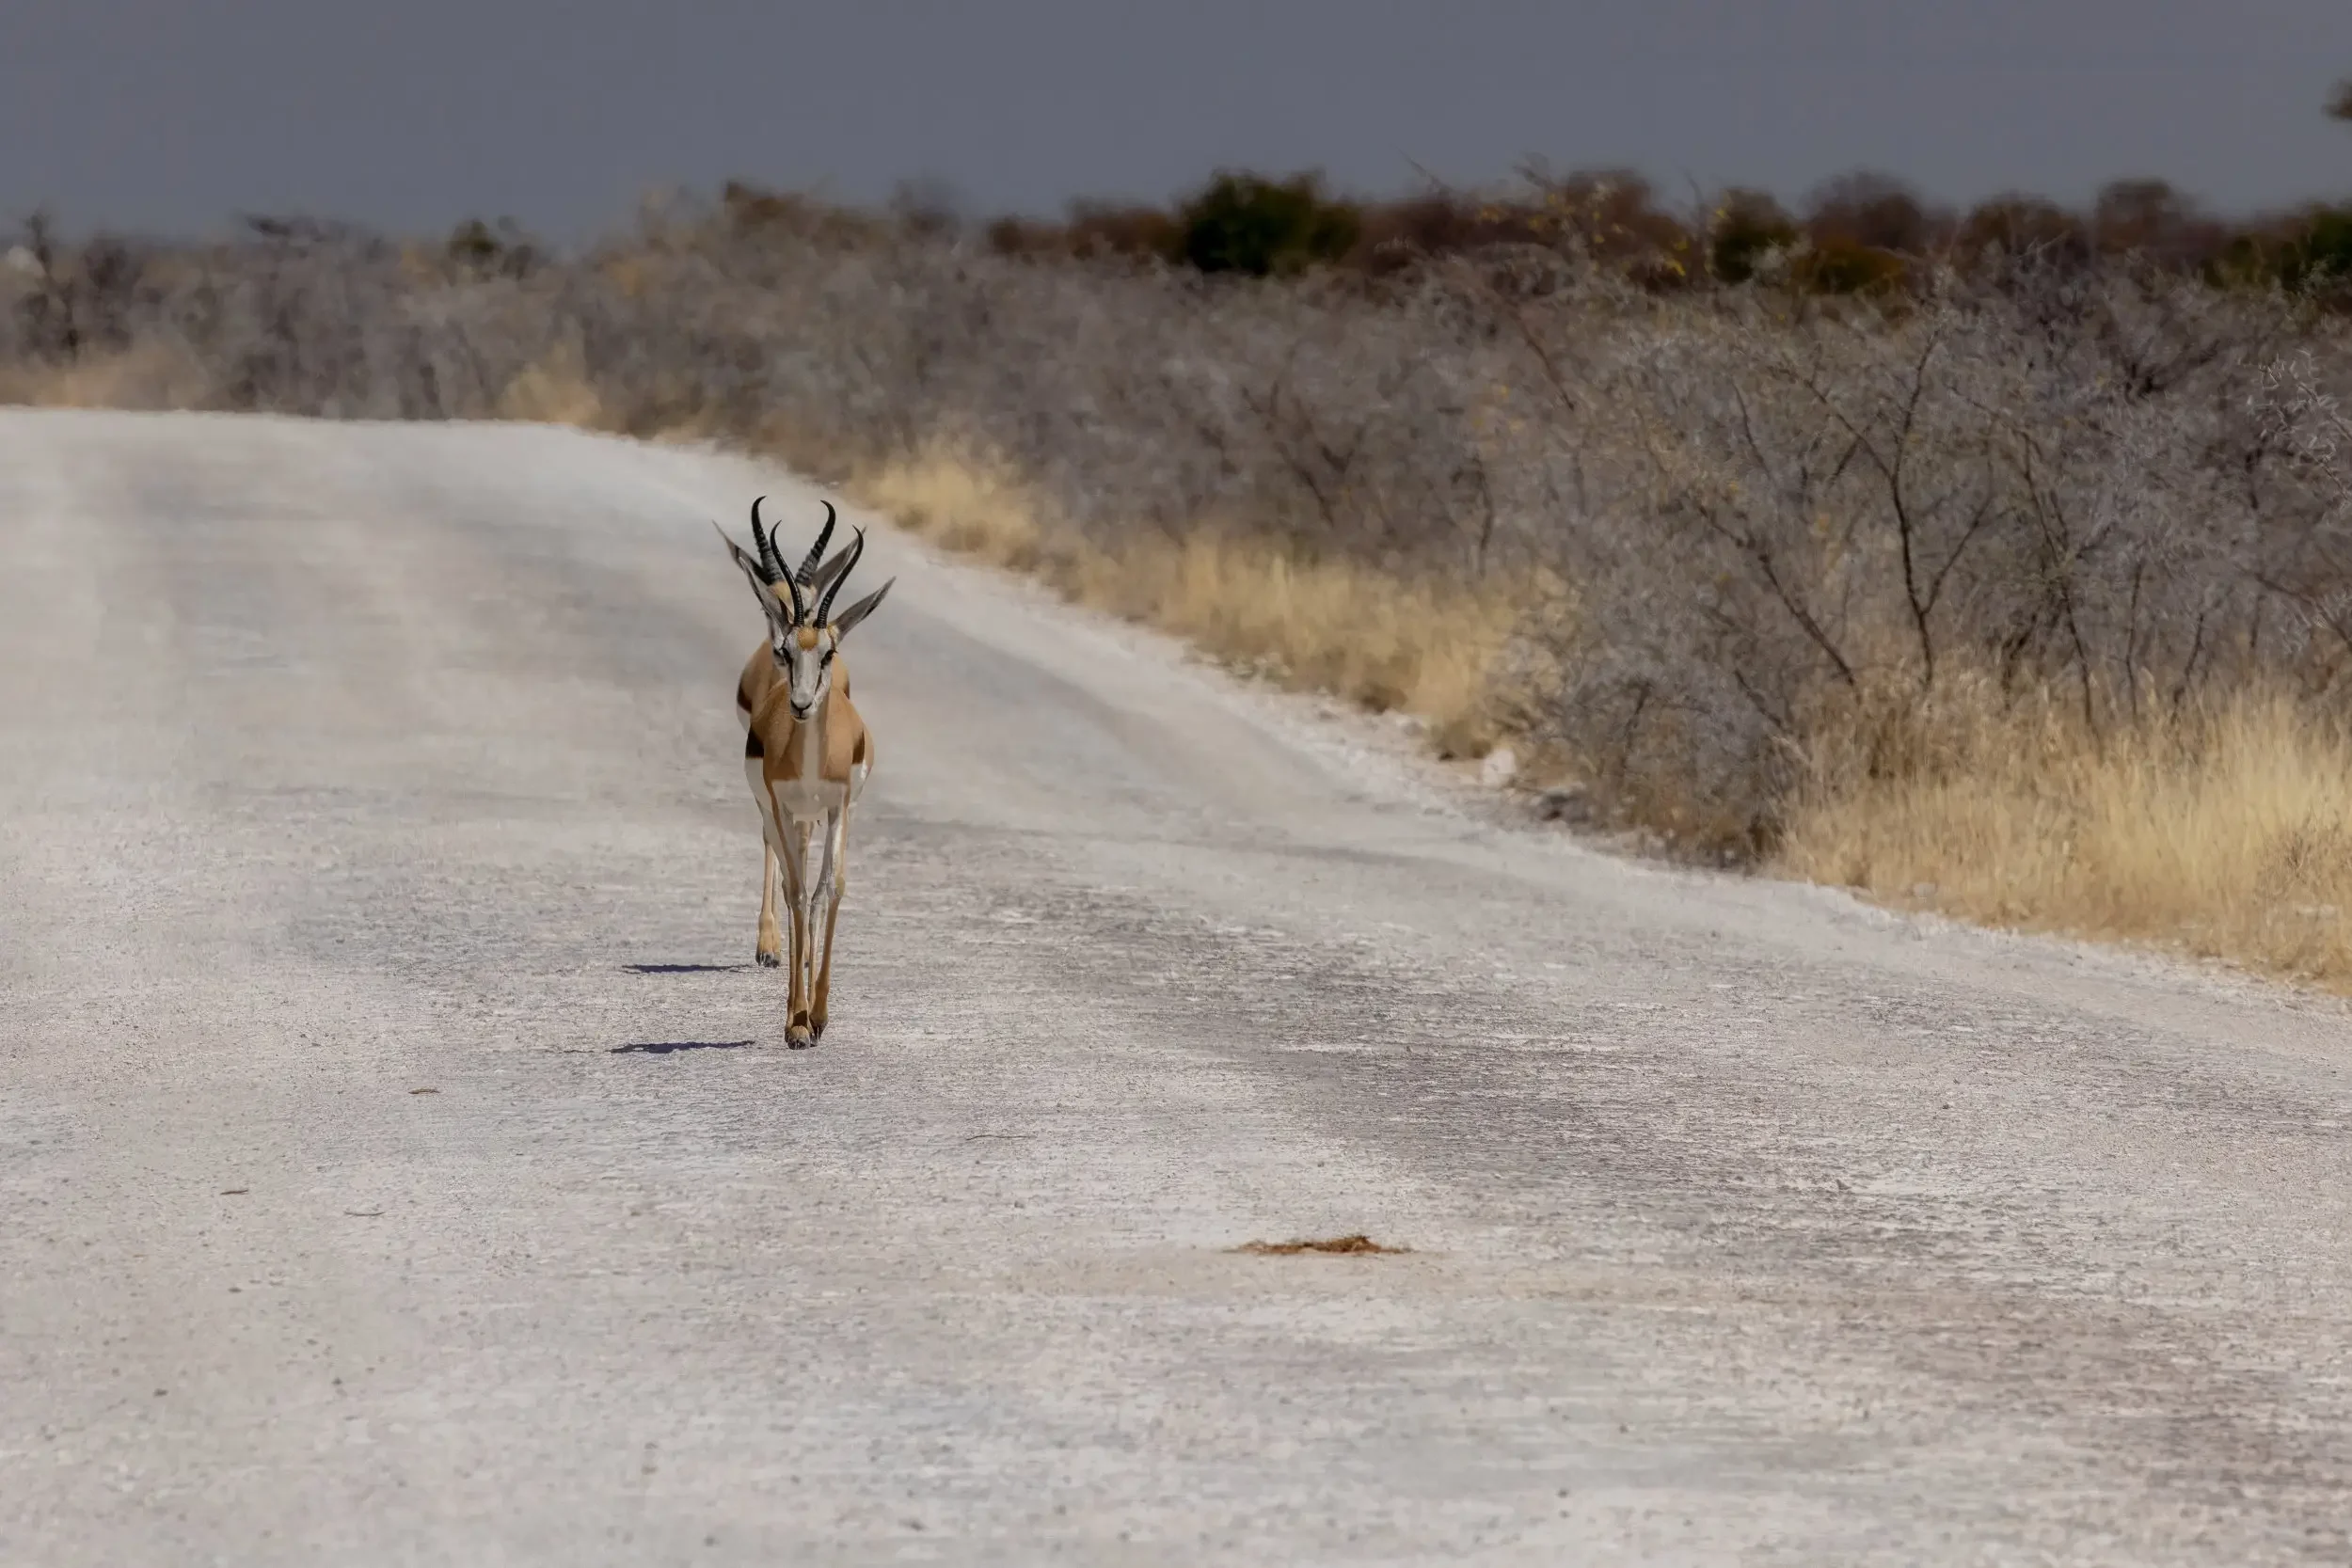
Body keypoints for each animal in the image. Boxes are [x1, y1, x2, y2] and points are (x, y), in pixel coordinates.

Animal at [716, 497, 894, 1046]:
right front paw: (796, 1020)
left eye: (828, 651)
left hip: (816, 815)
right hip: (785, 812)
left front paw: (819, 1014)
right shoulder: (779, 803)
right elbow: (795, 892)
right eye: (791, 650)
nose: (798, 703)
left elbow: (830, 889)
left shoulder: (840, 807)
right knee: (785, 872)